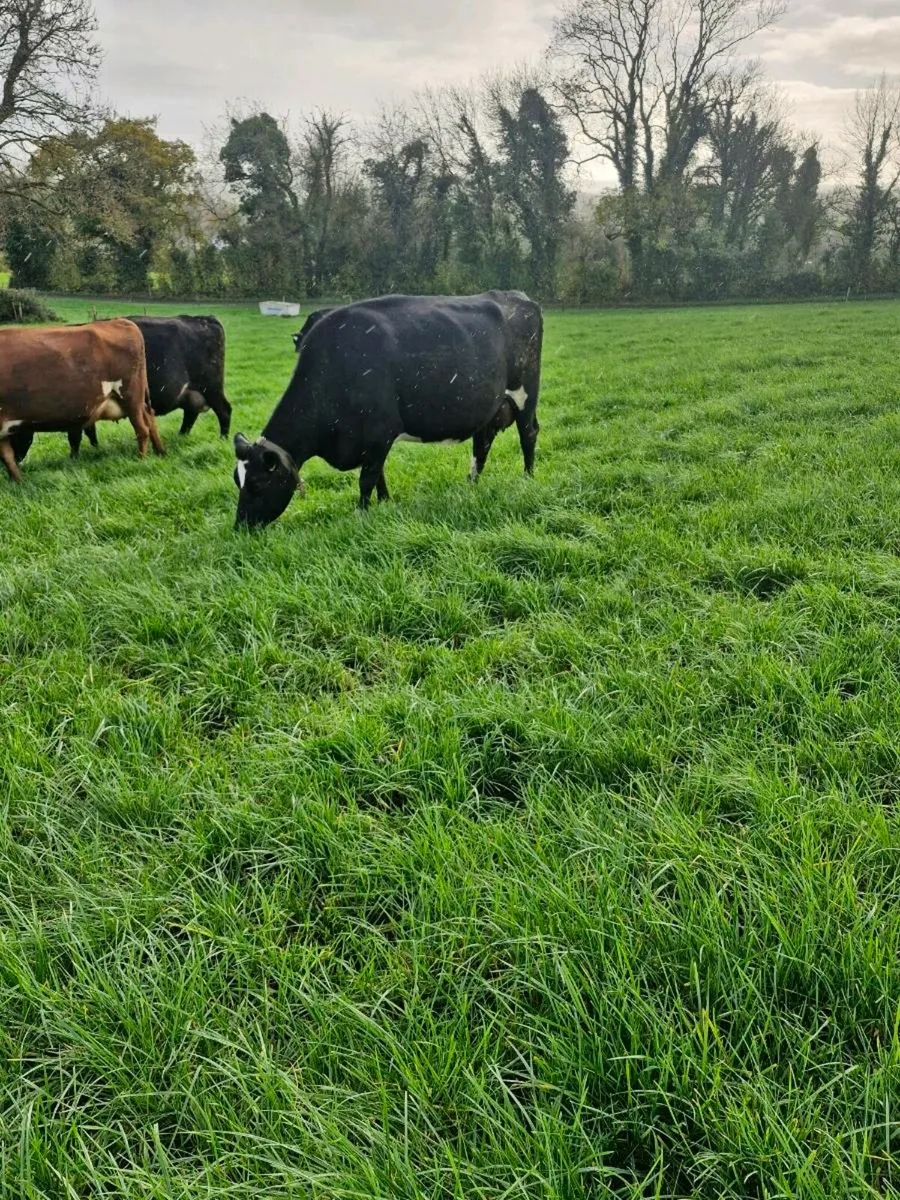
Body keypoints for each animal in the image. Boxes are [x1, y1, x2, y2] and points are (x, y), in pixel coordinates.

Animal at [0, 319, 164, 482]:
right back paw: (160, 451)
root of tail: (120, 321)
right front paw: (18, 481)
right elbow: (8, 457)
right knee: (150, 419)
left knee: (142, 429)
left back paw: (142, 460)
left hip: (131, 397)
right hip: (136, 401)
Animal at [233, 290, 542, 530]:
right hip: (489, 407)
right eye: (237, 481)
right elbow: (378, 473)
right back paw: (471, 484)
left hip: (525, 393)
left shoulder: (380, 432)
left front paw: (362, 513)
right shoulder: (369, 440)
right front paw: (385, 503)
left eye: (257, 484)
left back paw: (528, 477)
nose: (240, 528)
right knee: (482, 443)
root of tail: (518, 297)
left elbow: (367, 478)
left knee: (527, 434)